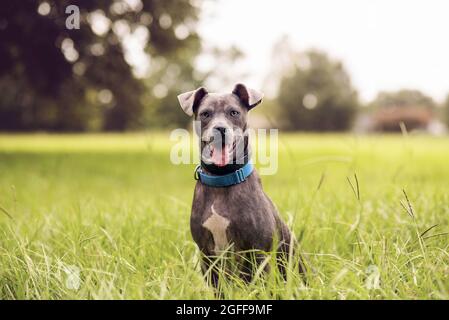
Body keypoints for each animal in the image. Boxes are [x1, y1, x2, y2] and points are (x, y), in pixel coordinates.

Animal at [177, 82, 302, 288]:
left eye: (234, 112)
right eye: (205, 114)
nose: (220, 129)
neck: (222, 178)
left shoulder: (257, 252)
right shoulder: (206, 255)